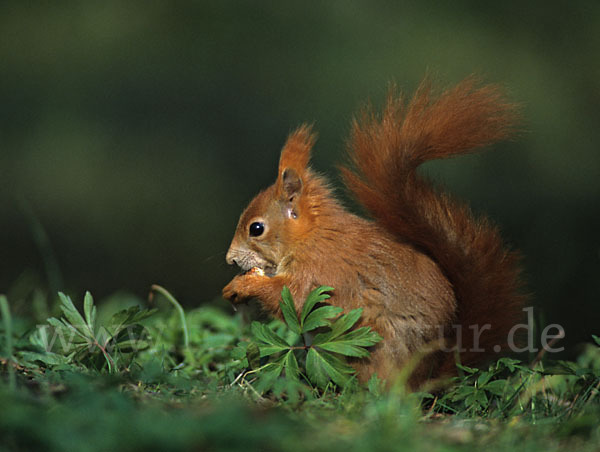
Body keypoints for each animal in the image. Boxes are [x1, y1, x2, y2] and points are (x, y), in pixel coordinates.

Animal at [223, 77, 524, 384]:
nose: (230, 260)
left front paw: (243, 286)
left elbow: (294, 299)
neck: (310, 237)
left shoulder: (321, 270)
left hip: (370, 347)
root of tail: (426, 378)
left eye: (256, 228)